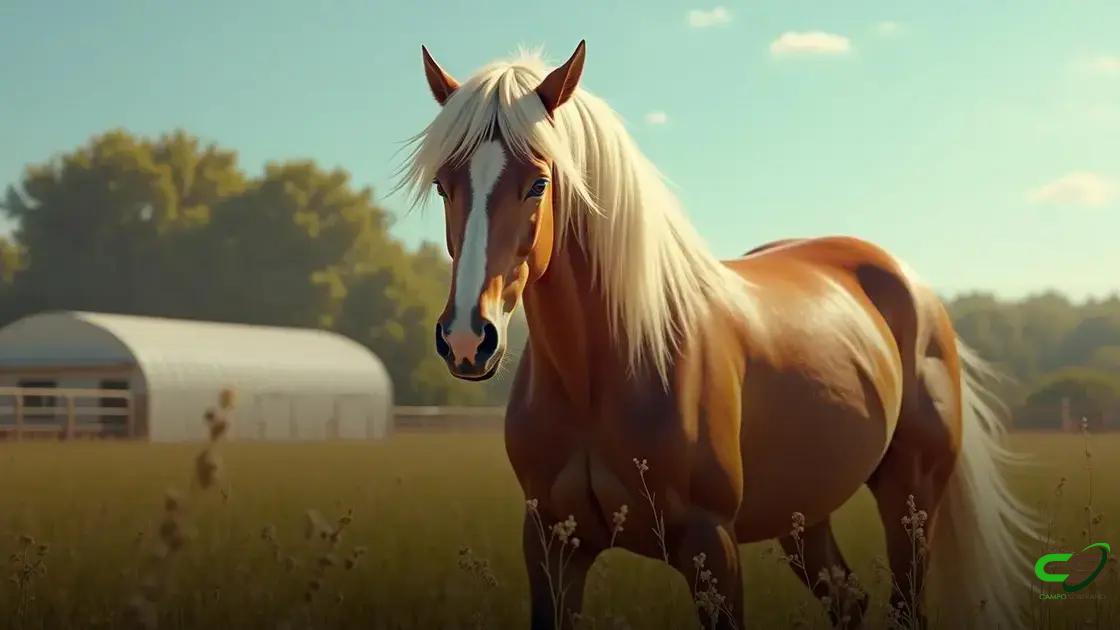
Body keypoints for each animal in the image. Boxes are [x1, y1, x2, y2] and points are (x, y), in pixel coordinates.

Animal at [397, 41, 1038, 630]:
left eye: (537, 183)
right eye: (444, 186)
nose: (466, 339)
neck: (610, 368)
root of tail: (916, 288)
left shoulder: (712, 545)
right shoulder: (551, 544)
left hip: (910, 499)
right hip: (804, 515)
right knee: (849, 601)